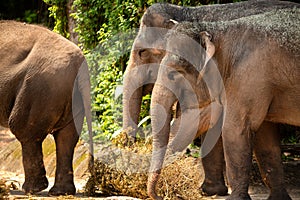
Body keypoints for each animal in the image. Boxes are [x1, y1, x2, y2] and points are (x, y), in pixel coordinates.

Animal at [0, 21, 93, 196]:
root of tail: (80, 65)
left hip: (38, 87)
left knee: (25, 132)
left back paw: (31, 190)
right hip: (69, 95)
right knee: (66, 138)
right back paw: (60, 192)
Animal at [122, 0, 300, 197]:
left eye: (142, 52)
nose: (130, 146)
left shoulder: (247, 79)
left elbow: (225, 126)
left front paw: (211, 191)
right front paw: (212, 191)